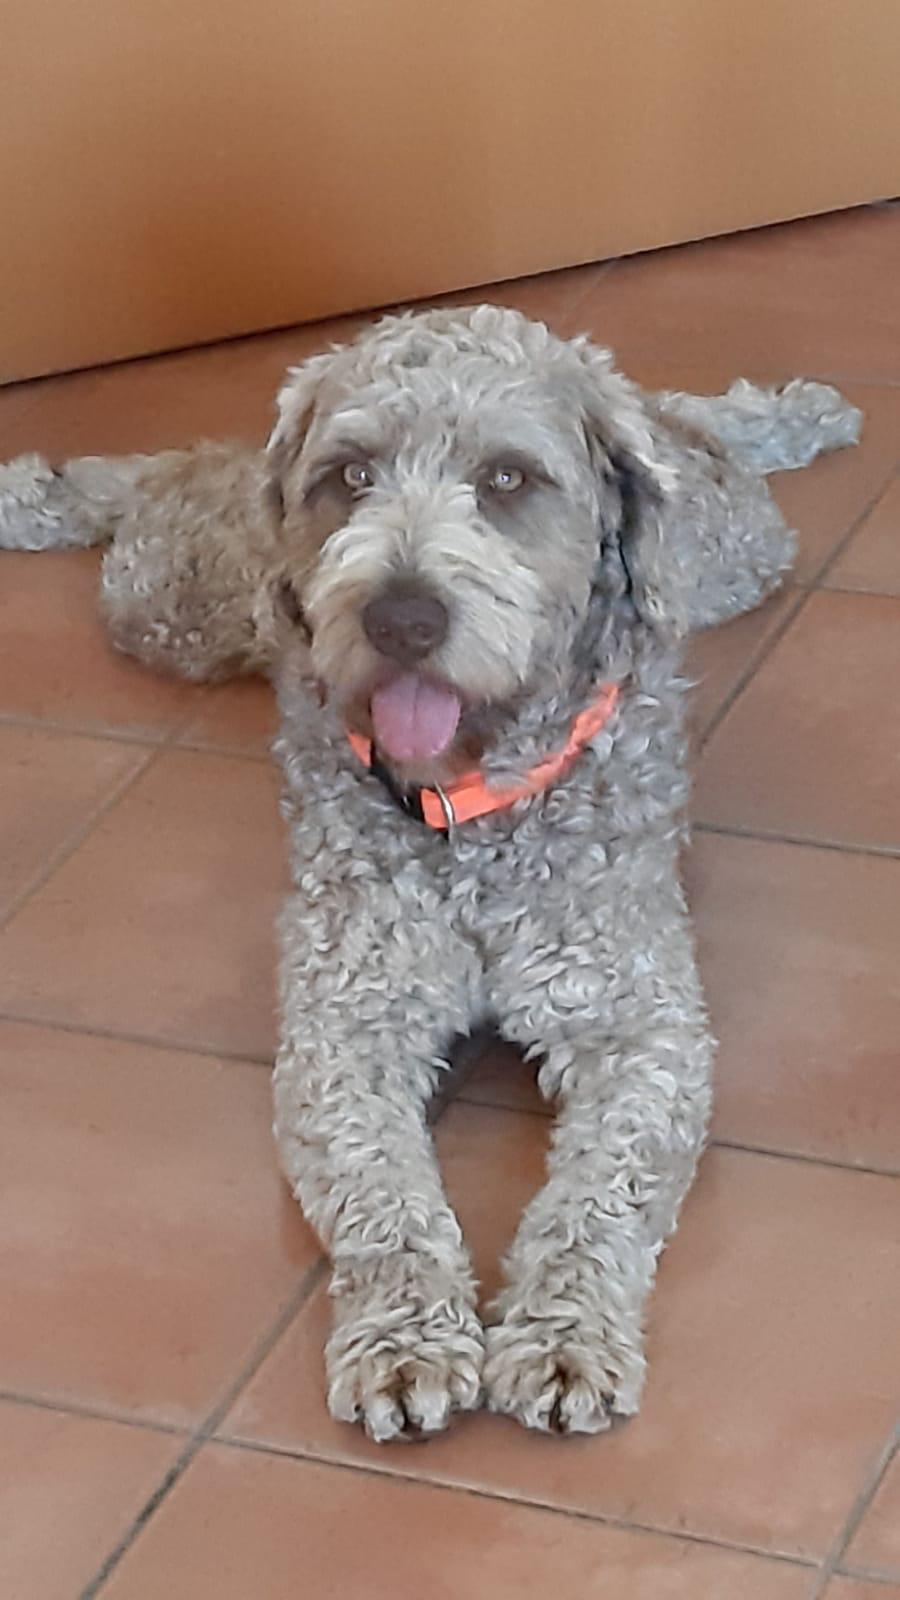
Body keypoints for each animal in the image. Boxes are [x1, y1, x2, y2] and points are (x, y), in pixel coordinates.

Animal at [0, 306, 861, 1441]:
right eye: (351, 475)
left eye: (507, 480)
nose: (401, 617)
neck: (470, 805)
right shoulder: (345, 1030)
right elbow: (383, 1195)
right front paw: (404, 1339)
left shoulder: (641, 1029)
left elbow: (599, 1198)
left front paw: (563, 1333)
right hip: (168, 602)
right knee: (178, 473)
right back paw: (48, 492)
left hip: (731, 548)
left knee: (708, 431)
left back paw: (797, 410)